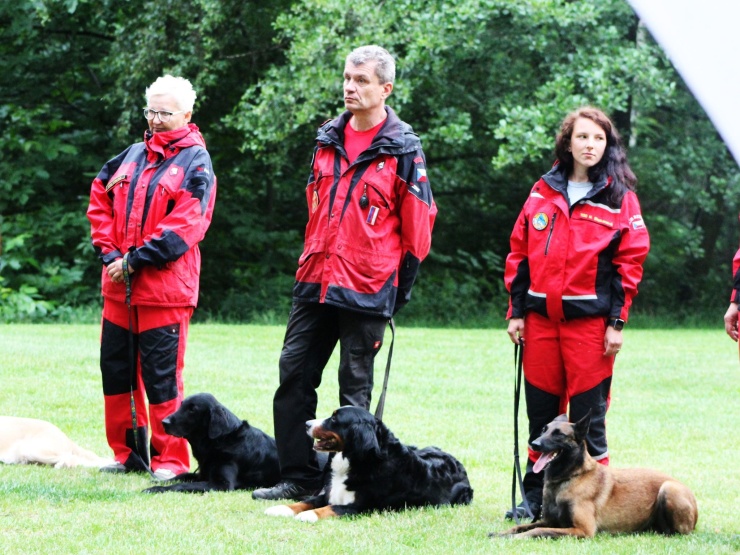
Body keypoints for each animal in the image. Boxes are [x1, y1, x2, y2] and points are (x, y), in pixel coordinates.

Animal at [143, 393, 279, 493]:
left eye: (192, 410)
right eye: (181, 405)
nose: (164, 422)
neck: (221, 440)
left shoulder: (221, 484)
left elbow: (182, 484)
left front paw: (156, 489)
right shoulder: (202, 474)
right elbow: (182, 476)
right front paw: (158, 481)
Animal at [265, 406, 473, 522]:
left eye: (334, 418)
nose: (307, 423)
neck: (357, 462)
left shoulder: (360, 507)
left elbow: (329, 508)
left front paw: (309, 515)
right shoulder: (328, 494)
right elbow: (305, 501)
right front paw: (281, 508)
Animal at [496, 413, 698, 538]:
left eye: (558, 434)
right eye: (543, 430)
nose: (534, 444)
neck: (569, 478)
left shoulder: (583, 530)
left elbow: (538, 531)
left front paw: (515, 538)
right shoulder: (549, 520)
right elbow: (523, 525)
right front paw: (501, 534)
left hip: (668, 488)